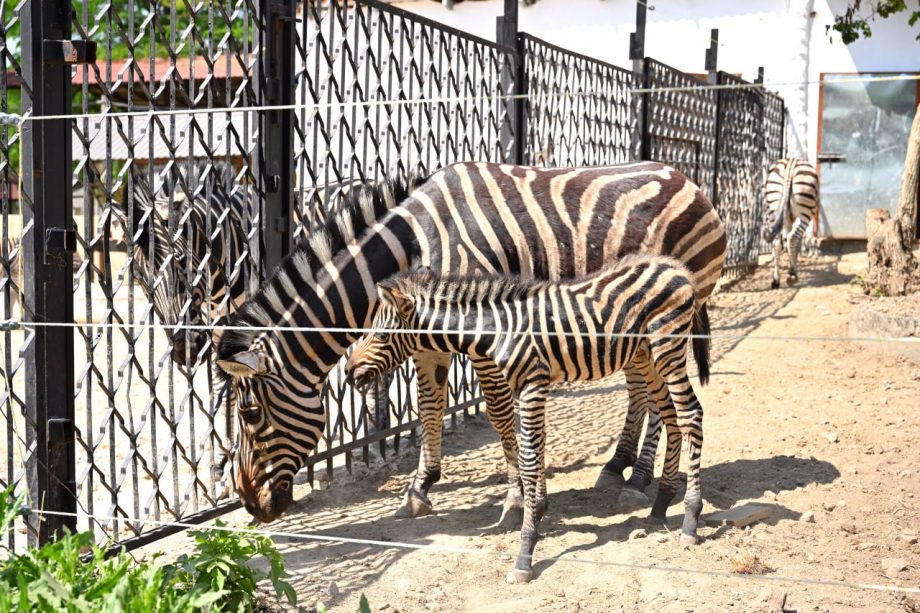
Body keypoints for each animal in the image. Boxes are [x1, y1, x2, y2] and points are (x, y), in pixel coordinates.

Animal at [216, 160, 724, 524]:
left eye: (250, 415)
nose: (250, 506)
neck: (413, 243)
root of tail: (686, 178)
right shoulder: (425, 338)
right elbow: (428, 407)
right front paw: (420, 488)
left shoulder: (485, 326)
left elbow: (499, 413)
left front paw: (516, 497)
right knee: (641, 391)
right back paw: (619, 465)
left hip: (667, 320)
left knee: (659, 396)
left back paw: (640, 477)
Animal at [346, 253, 712, 584]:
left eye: (380, 336)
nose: (349, 372)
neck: (498, 330)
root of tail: (674, 267)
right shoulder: (528, 387)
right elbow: (532, 448)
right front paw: (536, 513)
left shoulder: (533, 384)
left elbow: (529, 455)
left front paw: (525, 549)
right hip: (647, 355)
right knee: (672, 418)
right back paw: (661, 506)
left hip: (668, 349)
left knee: (691, 414)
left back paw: (690, 520)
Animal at [760, 157, 820, 288]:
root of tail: (791, 164)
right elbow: (796, 243)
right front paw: (793, 268)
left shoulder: (788, 218)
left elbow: (786, 241)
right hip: (805, 214)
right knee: (793, 237)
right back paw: (792, 275)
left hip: (773, 208)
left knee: (777, 242)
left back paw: (776, 280)